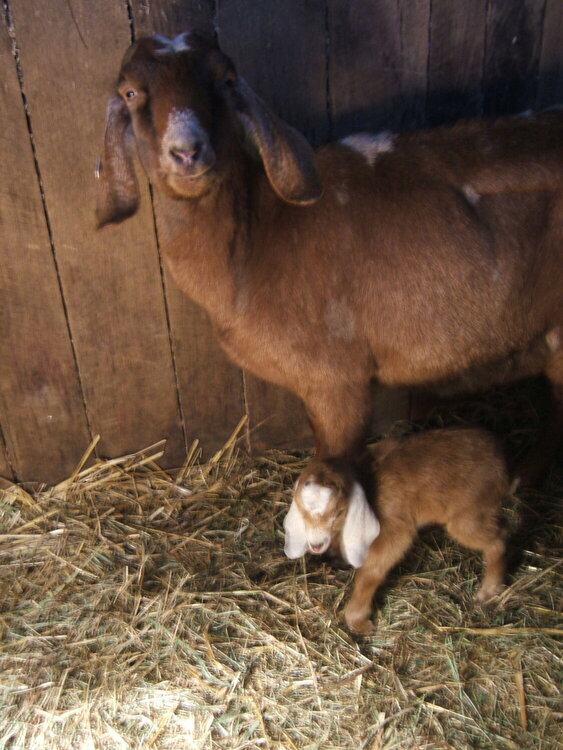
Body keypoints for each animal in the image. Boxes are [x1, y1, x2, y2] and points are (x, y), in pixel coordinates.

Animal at [97, 32, 563, 484]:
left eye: (226, 80)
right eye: (130, 92)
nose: (187, 151)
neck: (256, 238)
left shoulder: (337, 379)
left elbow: (335, 462)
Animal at [284, 428, 508, 636]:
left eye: (340, 512)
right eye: (301, 511)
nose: (316, 545)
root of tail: (500, 456)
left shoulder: (393, 528)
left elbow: (373, 569)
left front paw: (358, 621)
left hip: (468, 513)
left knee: (498, 541)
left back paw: (488, 591)